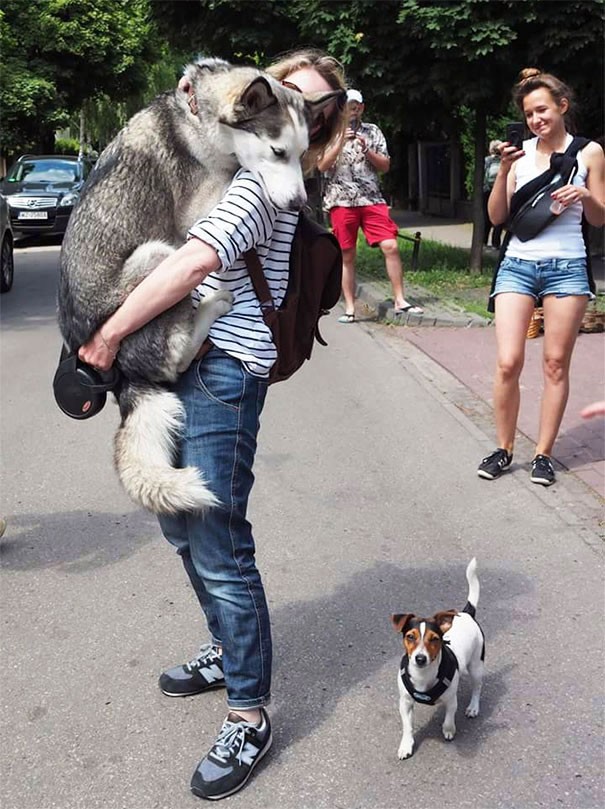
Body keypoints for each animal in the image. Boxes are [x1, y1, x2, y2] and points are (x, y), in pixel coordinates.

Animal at [59, 55, 340, 512]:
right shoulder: (200, 211)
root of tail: (123, 373)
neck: (199, 120)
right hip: (157, 254)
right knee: (177, 354)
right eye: (278, 152)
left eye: (301, 153)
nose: (299, 202)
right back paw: (213, 306)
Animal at [390, 556, 484, 756]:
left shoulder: (451, 700)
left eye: (434, 639)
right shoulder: (405, 703)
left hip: (476, 666)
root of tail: (466, 614)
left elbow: (449, 718)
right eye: (410, 637)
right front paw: (406, 745)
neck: (423, 675)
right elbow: (407, 726)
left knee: (477, 687)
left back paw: (473, 707)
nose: (420, 658)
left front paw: (448, 731)